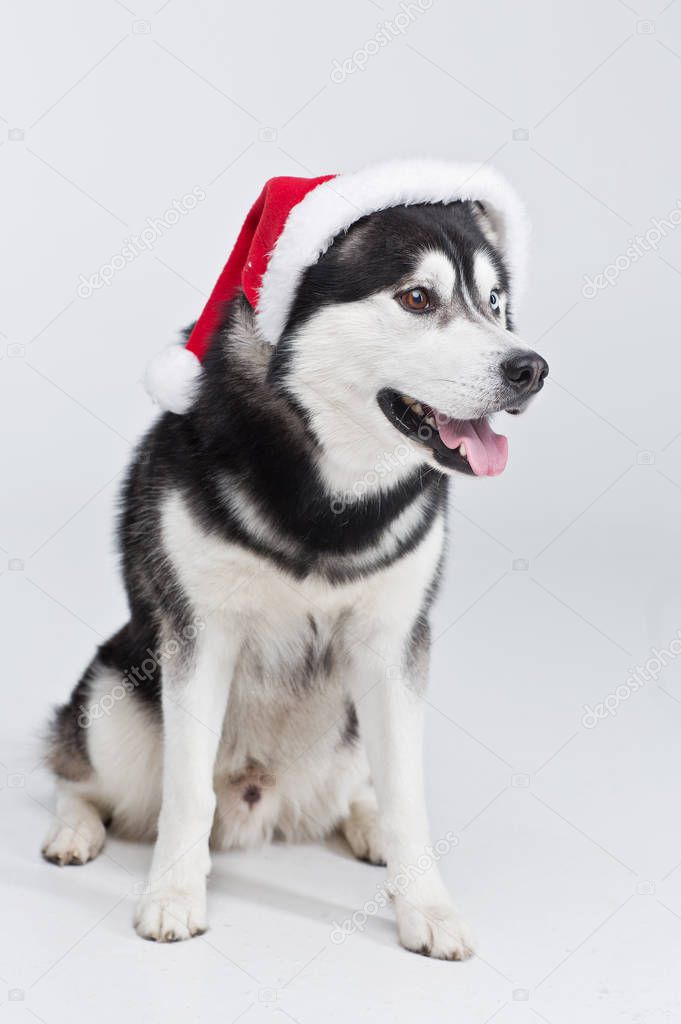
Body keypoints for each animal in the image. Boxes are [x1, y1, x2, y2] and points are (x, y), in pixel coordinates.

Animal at [41, 161, 548, 958]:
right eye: (417, 298)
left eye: (495, 304)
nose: (530, 367)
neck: (331, 498)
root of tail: (263, 804)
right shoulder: (200, 637)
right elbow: (186, 791)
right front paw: (172, 895)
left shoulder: (393, 646)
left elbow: (406, 796)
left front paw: (425, 905)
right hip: (111, 697)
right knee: (79, 772)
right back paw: (73, 827)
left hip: (348, 733)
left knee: (359, 790)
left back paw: (365, 827)